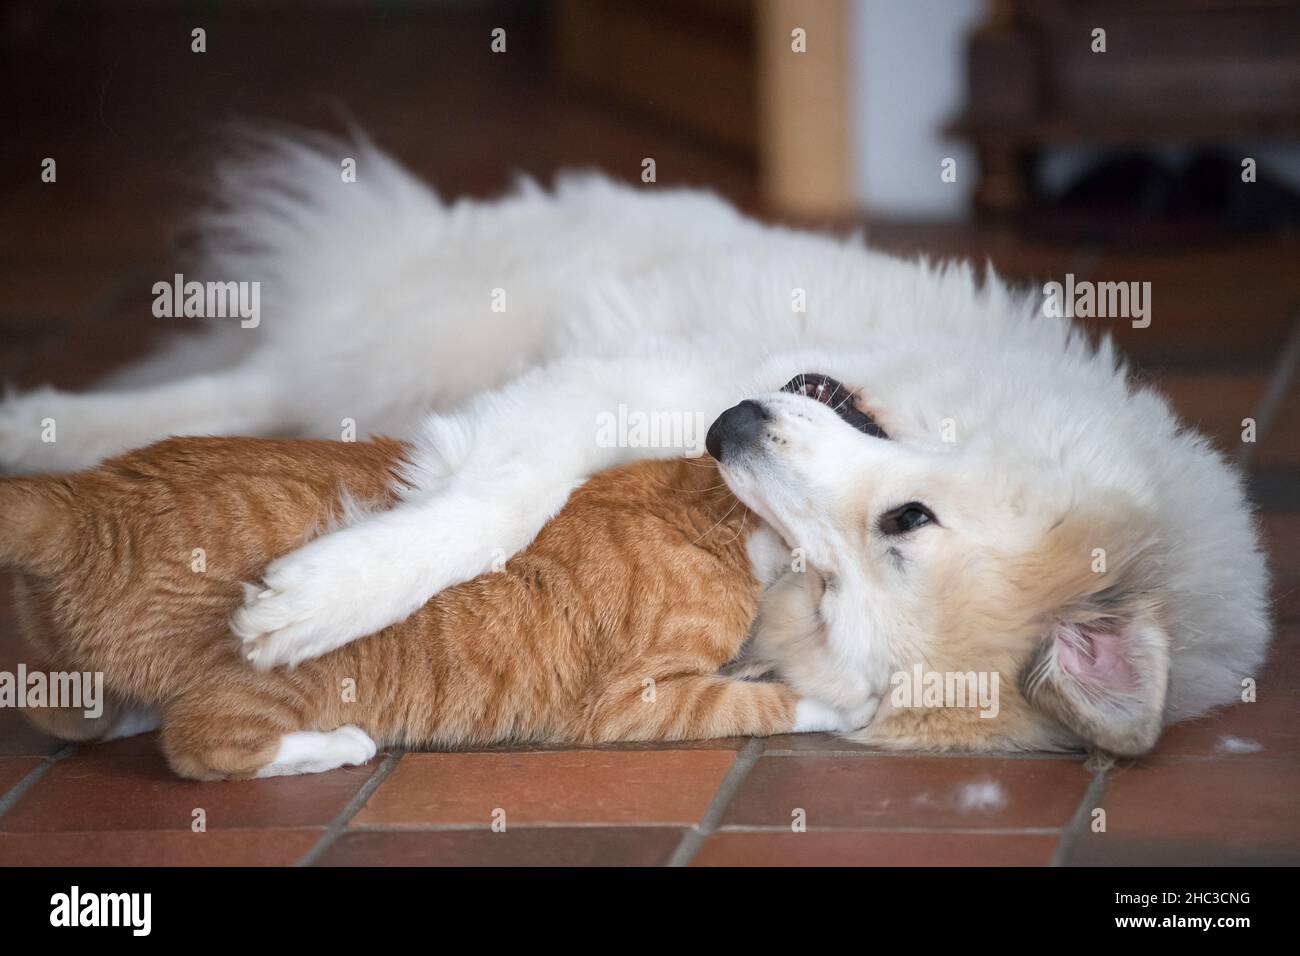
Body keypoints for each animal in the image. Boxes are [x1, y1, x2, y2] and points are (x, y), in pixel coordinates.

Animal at [0, 439, 842, 780]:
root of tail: (80, 498)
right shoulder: (625, 703)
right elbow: (760, 702)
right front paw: (837, 702)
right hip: (290, 678)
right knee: (199, 745)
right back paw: (334, 746)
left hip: (66, 687)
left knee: (67, 710)